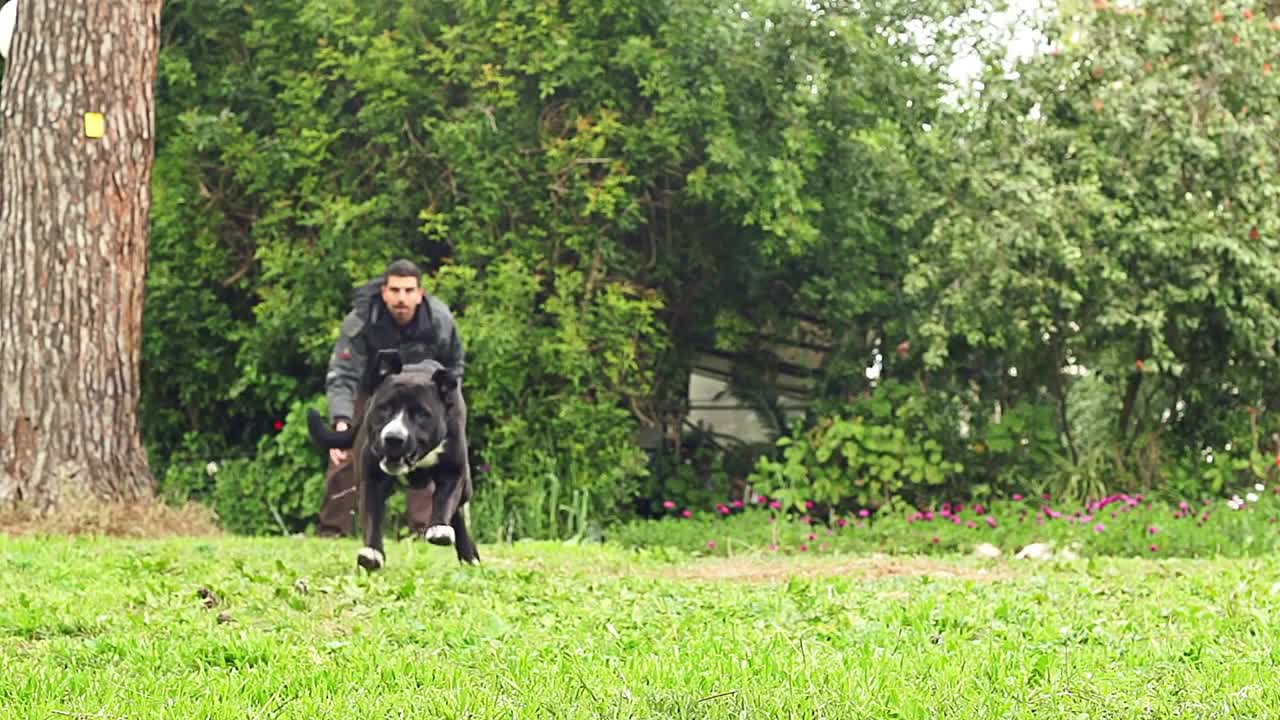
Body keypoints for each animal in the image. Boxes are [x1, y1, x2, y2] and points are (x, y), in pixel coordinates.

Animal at [307, 348, 478, 566]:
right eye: (384, 408)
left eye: (422, 414)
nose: (394, 438)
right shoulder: (371, 480)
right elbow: (371, 515)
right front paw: (372, 552)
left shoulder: (454, 471)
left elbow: (445, 499)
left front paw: (439, 528)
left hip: (466, 488)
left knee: (457, 511)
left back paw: (468, 553)